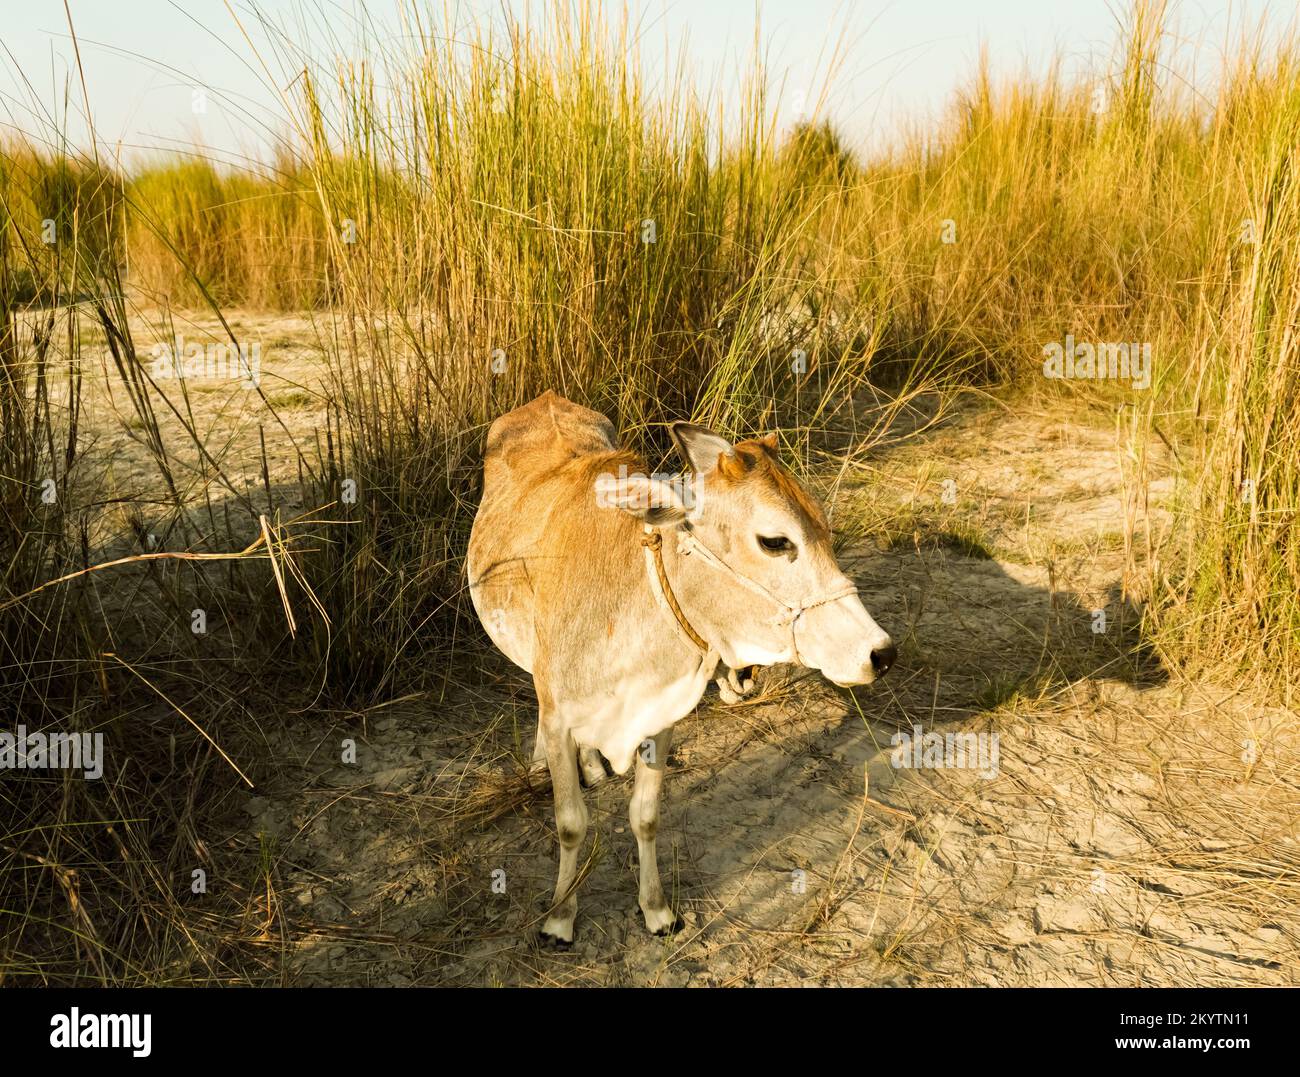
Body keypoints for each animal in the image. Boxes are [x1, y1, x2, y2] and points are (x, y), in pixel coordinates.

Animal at [467, 391, 895, 946]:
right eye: (775, 541)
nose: (879, 653)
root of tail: (546, 398)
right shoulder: (560, 716)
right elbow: (571, 823)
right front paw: (560, 918)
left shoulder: (661, 717)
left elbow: (645, 816)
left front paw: (656, 910)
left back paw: (593, 766)